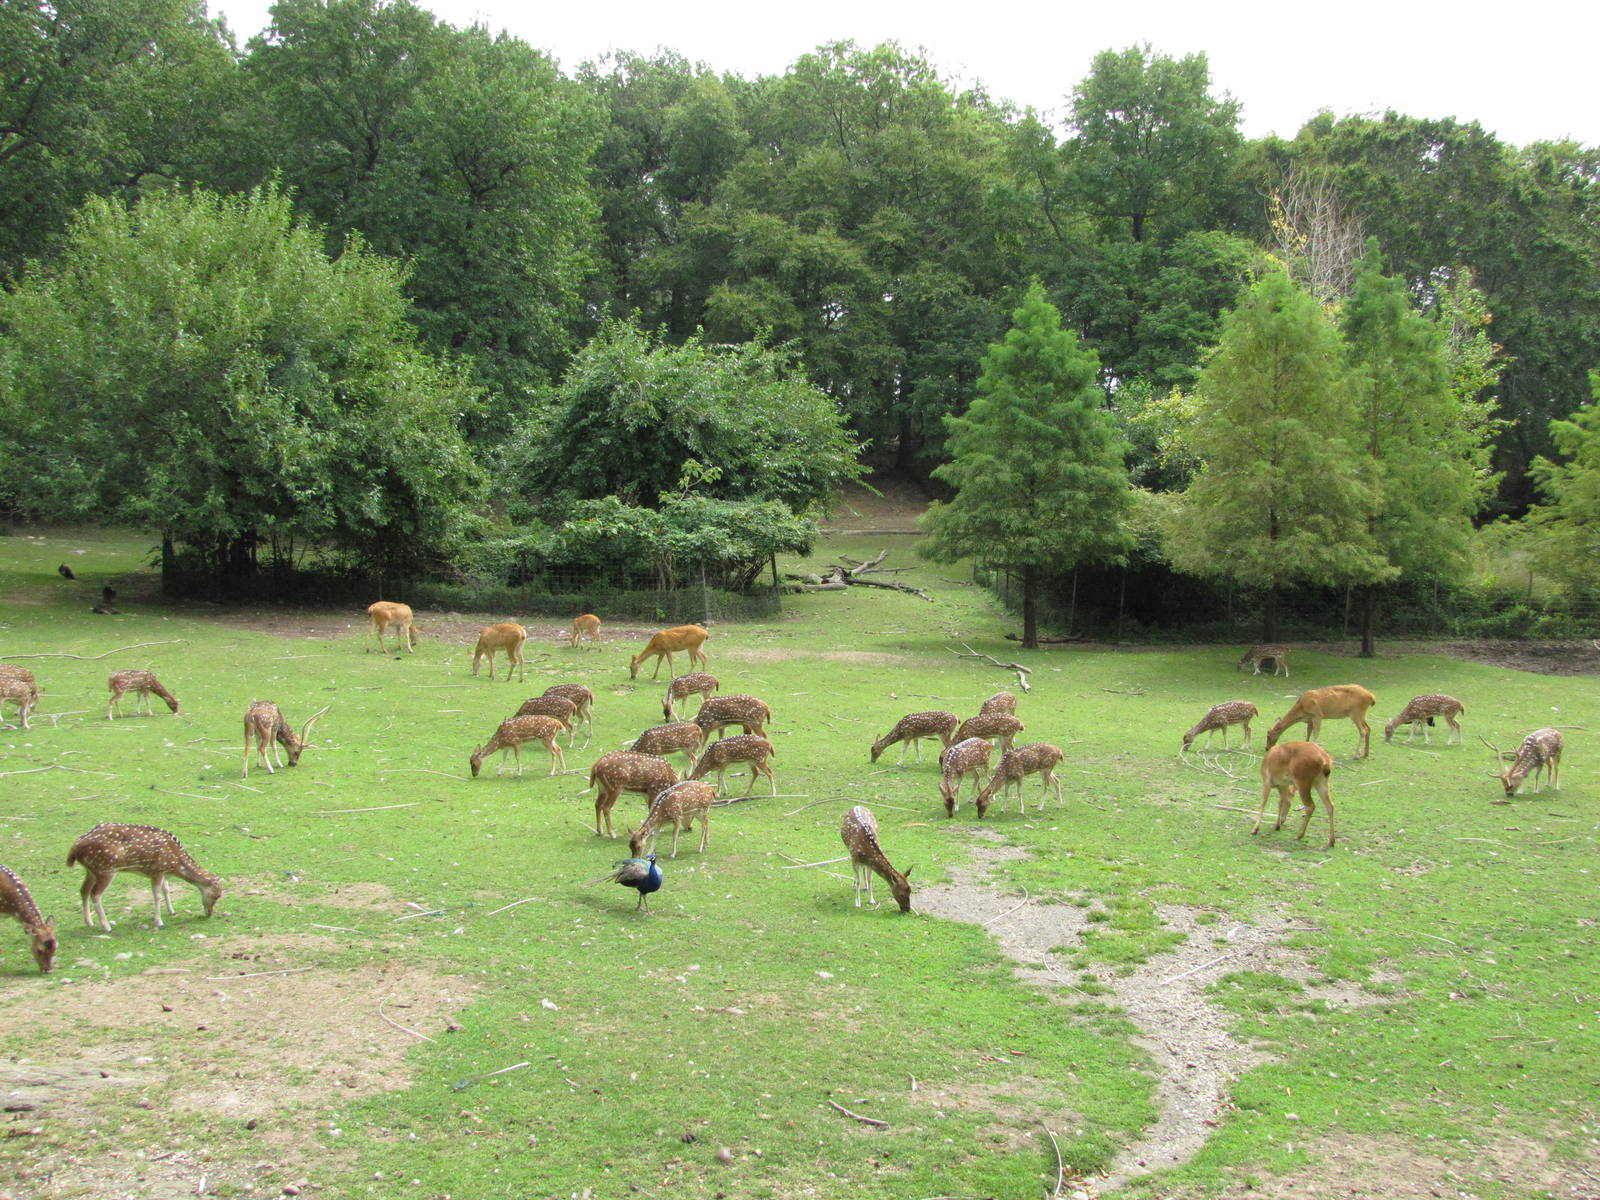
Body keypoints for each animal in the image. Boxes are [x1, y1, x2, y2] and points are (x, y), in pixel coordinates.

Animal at [67, 823, 223, 931]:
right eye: (217, 896)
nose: (210, 913)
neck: (174, 864)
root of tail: (75, 847)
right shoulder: (156, 871)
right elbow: (157, 895)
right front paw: (159, 922)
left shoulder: (162, 871)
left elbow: (166, 890)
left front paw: (172, 911)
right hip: (105, 869)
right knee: (95, 893)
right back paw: (106, 926)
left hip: (91, 870)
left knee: (84, 890)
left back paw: (89, 922)